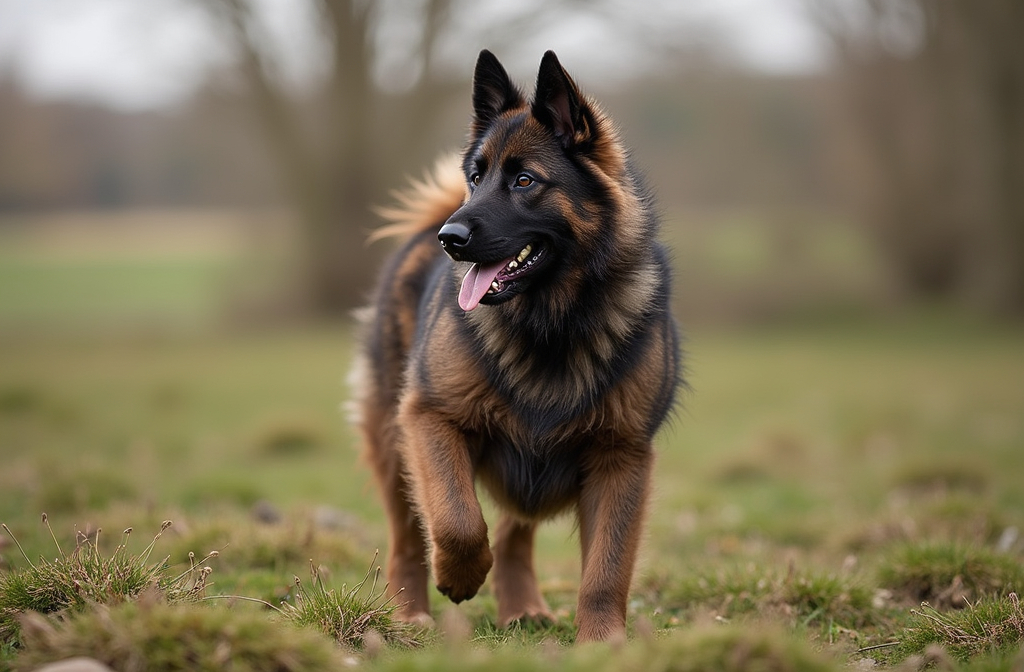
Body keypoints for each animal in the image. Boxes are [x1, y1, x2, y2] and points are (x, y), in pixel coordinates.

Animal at [352, 49, 679, 643]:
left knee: (512, 533)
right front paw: (459, 575)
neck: (551, 323)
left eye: (525, 180)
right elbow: (457, 520)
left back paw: (521, 607)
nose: (451, 239)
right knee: (410, 538)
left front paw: (604, 643)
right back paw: (410, 616)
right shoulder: (429, 419)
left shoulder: (621, 457)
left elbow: (608, 567)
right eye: (476, 178)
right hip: (394, 444)